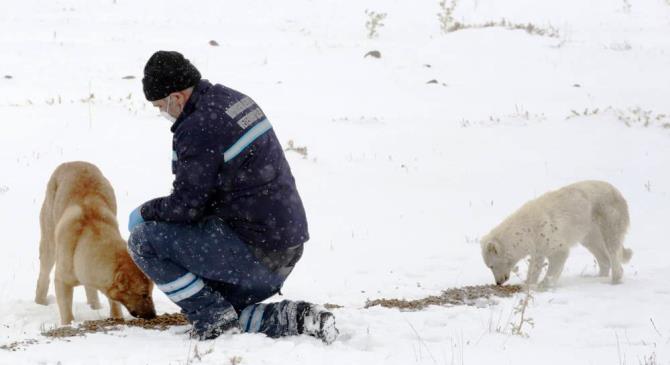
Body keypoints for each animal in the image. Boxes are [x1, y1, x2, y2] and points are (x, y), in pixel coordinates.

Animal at [35, 161, 156, 322]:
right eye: (143, 294)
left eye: (151, 291)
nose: (153, 315)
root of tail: (72, 162)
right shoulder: (62, 280)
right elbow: (66, 308)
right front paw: (69, 323)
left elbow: (114, 302)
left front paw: (116, 317)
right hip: (49, 241)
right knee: (44, 273)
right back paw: (39, 302)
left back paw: (95, 306)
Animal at [480, 181, 632, 286]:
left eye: (491, 265)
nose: (498, 282)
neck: (527, 228)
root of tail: (619, 193)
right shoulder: (538, 244)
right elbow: (535, 264)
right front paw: (528, 283)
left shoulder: (548, 234)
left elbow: (559, 255)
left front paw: (544, 284)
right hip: (589, 230)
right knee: (600, 253)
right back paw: (597, 277)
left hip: (608, 217)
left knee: (613, 247)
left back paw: (614, 280)